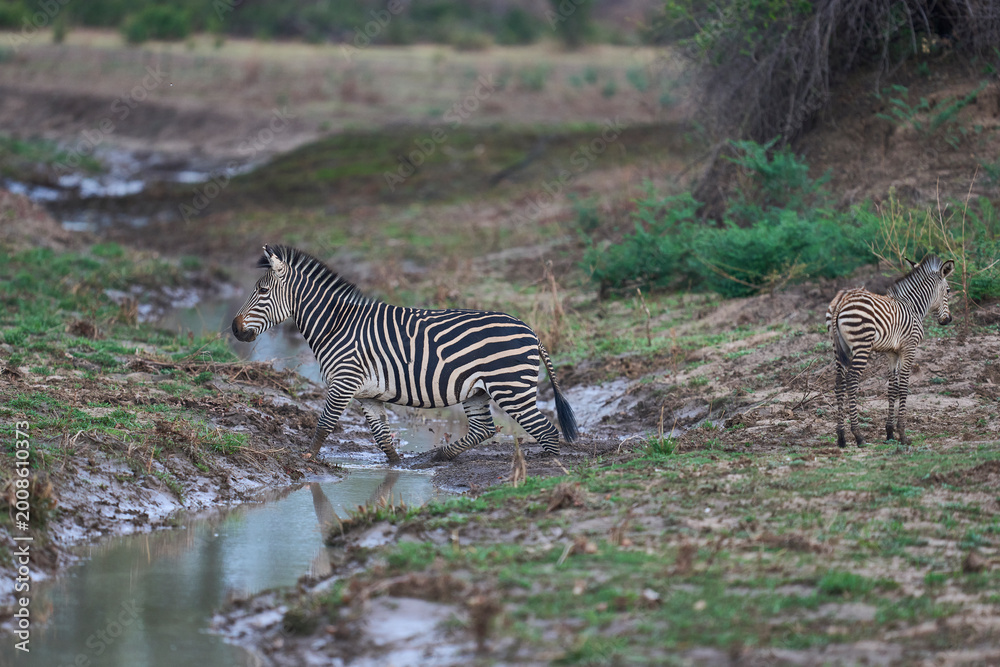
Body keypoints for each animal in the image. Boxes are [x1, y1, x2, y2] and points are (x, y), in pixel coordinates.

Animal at [232, 245, 579, 464]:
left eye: (262, 291)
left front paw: (306, 459)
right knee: (484, 429)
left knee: (547, 431)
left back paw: (546, 471)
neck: (337, 324)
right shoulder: (367, 394)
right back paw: (440, 456)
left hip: (511, 388)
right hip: (477, 391)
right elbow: (383, 439)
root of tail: (531, 330)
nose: (235, 329)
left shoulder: (344, 382)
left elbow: (324, 424)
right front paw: (398, 467)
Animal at [825, 255, 954, 447]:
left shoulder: (892, 352)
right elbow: (903, 387)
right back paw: (858, 435)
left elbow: (892, 388)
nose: (948, 320)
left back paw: (841, 437)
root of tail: (842, 299)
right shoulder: (909, 347)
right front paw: (902, 434)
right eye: (948, 290)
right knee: (851, 380)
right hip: (861, 345)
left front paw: (890, 433)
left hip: (838, 348)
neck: (913, 306)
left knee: (839, 383)